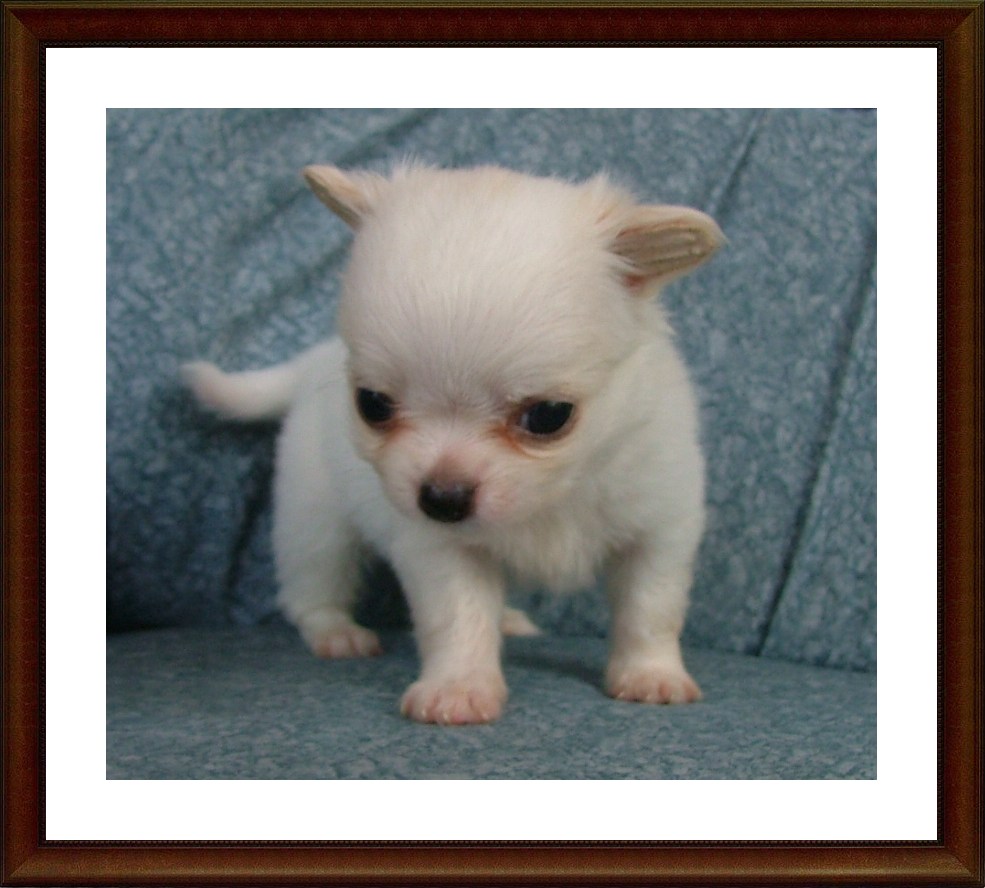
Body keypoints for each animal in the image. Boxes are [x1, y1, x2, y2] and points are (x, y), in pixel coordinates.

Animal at [183, 163, 724, 725]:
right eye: (372, 404)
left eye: (548, 416)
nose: (442, 499)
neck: (556, 496)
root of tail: (312, 361)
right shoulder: (440, 548)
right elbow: (457, 617)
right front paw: (459, 687)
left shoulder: (660, 530)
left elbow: (650, 609)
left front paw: (650, 674)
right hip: (315, 523)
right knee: (311, 587)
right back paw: (335, 632)